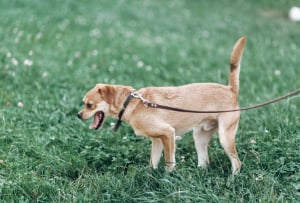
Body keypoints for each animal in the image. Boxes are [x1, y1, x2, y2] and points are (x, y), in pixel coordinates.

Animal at [77, 36, 246, 173]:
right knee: (205, 162)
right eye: (83, 103)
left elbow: (169, 162)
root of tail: (230, 89)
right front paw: (150, 176)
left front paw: (168, 178)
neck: (132, 102)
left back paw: (232, 179)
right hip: (199, 136)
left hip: (225, 137)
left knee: (237, 162)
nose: (78, 115)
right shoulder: (157, 140)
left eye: (90, 105)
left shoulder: (168, 134)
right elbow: (153, 162)